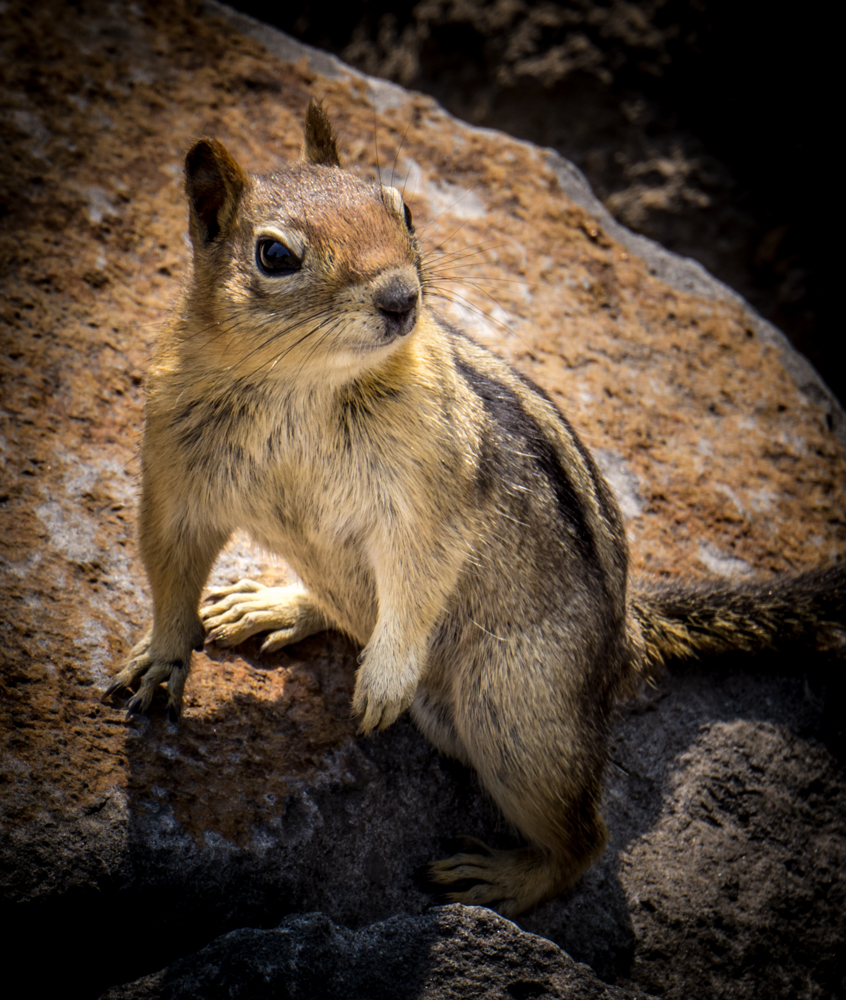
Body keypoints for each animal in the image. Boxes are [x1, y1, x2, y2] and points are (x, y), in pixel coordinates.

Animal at [105, 100, 846, 917]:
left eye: (401, 208)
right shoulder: (174, 471)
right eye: (274, 255)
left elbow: (420, 573)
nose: (402, 298)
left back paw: (505, 877)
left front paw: (383, 679)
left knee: (585, 840)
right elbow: (171, 567)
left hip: (517, 713)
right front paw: (161, 660)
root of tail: (624, 643)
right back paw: (276, 603)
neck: (304, 382)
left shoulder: (434, 491)